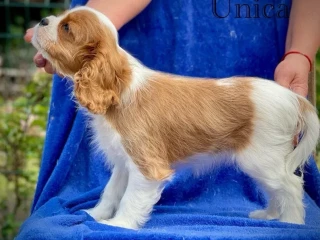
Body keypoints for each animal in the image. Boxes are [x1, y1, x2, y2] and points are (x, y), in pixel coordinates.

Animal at [31, 6, 318, 230]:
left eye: (66, 28)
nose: (43, 20)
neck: (119, 85)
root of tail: (294, 98)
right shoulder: (125, 162)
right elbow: (111, 191)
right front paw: (95, 215)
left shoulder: (147, 165)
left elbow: (130, 199)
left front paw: (119, 224)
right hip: (262, 162)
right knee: (276, 189)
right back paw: (269, 216)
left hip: (261, 158)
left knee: (291, 186)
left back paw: (291, 223)